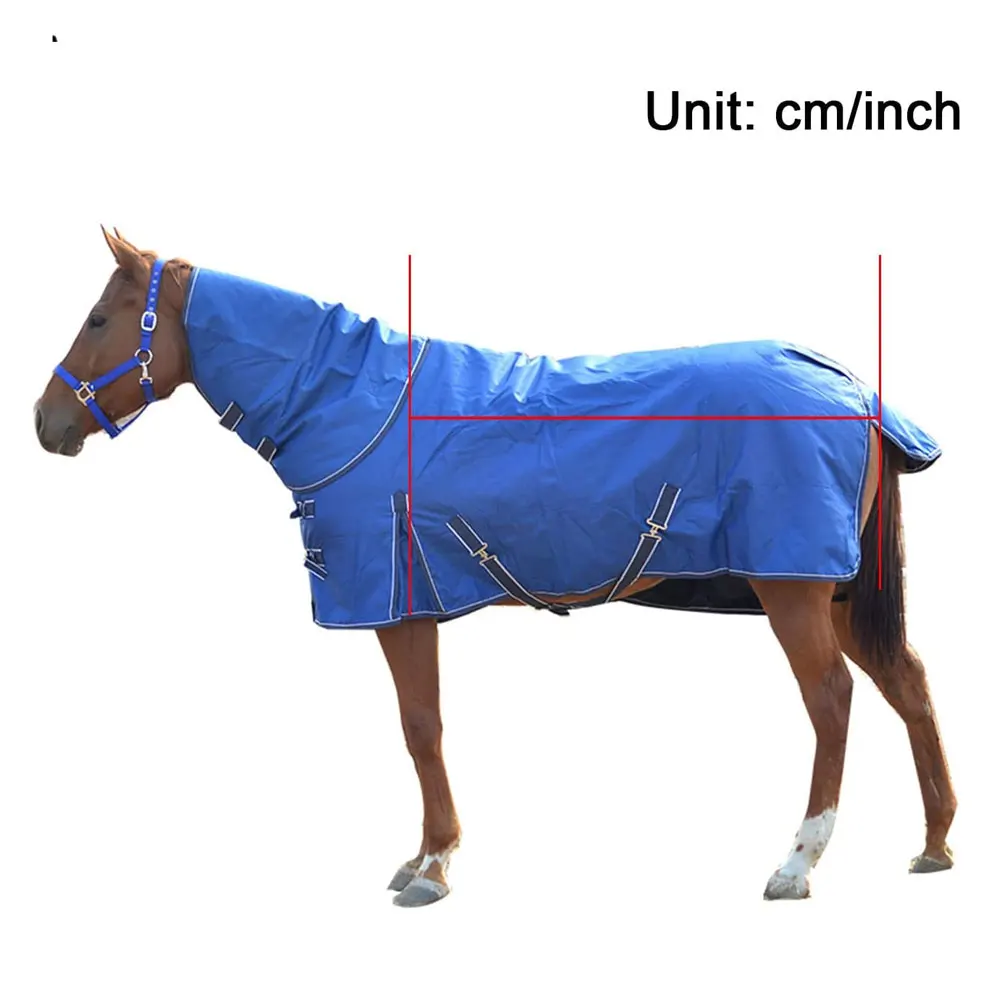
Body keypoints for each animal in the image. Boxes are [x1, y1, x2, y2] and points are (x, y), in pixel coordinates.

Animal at [33, 227, 956, 907]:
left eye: (99, 320)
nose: (46, 422)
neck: (352, 402)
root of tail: (849, 386)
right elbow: (424, 729)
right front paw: (423, 858)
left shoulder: (399, 606)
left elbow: (420, 729)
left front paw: (433, 866)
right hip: (833, 587)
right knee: (905, 682)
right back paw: (936, 843)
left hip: (793, 585)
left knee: (831, 699)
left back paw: (798, 863)